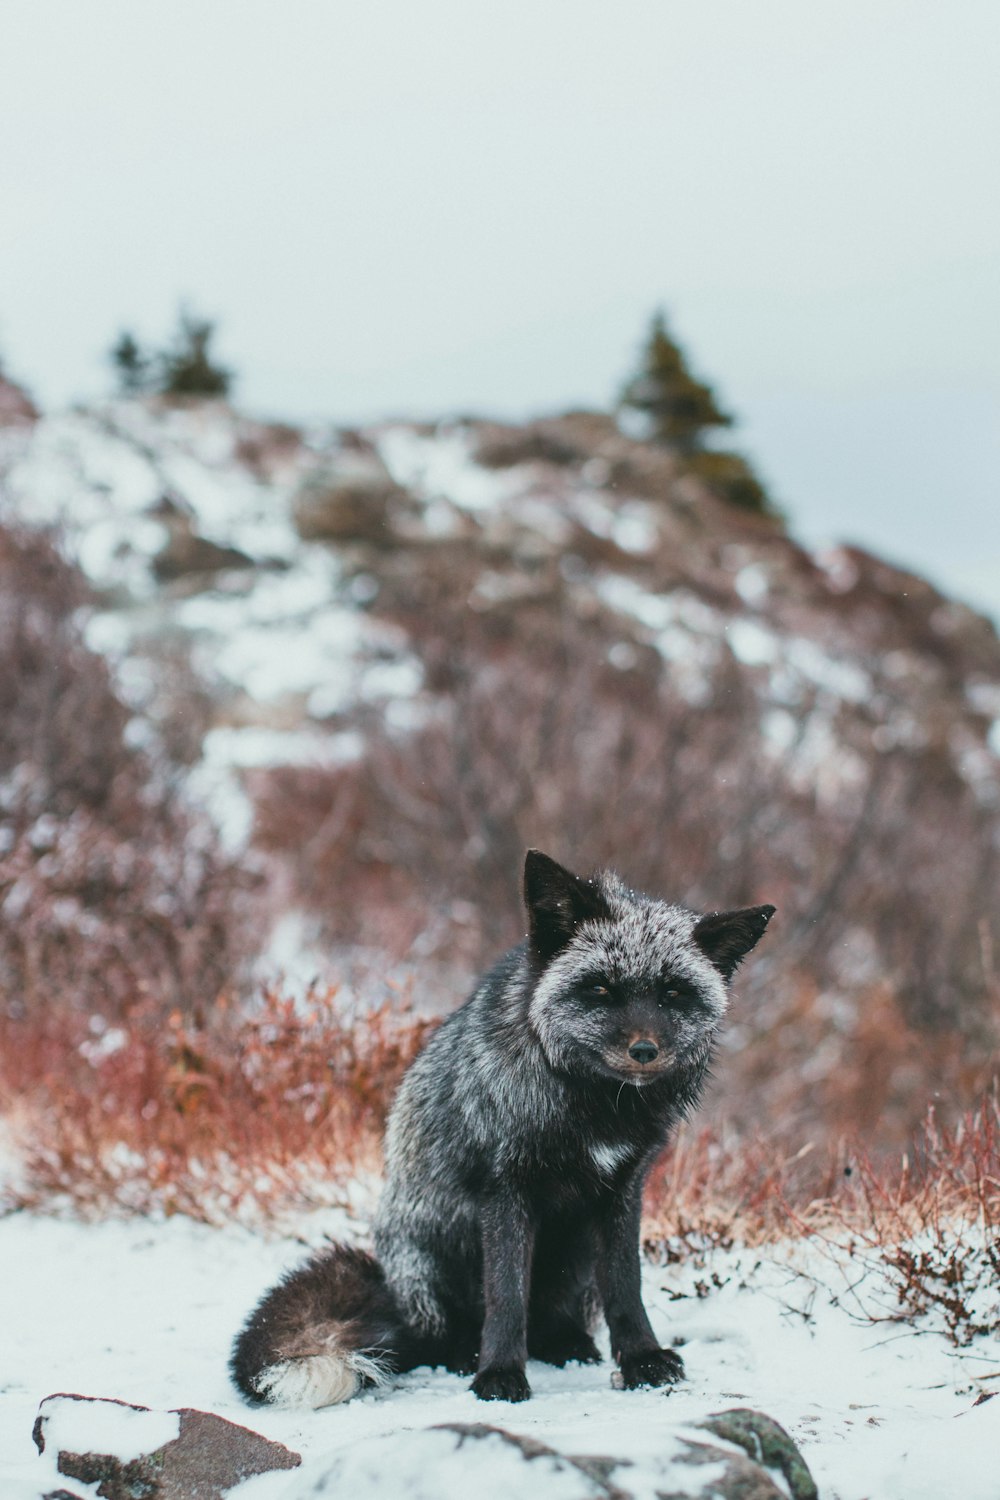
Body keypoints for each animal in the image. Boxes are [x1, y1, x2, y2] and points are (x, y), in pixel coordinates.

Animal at [232, 858, 773, 1404]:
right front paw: (499, 1374)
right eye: (601, 989)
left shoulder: (623, 1191)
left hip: (574, 1261)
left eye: (673, 994)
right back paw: (463, 1355)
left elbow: (627, 1285)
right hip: (434, 1255)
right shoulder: (505, 1190)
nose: (644, 1050)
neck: (592, 1110)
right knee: (443, 1335)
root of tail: (392, 1293)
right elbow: (506, 1295)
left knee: (555, 1318)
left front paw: (642, 1359)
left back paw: (566, 1345)